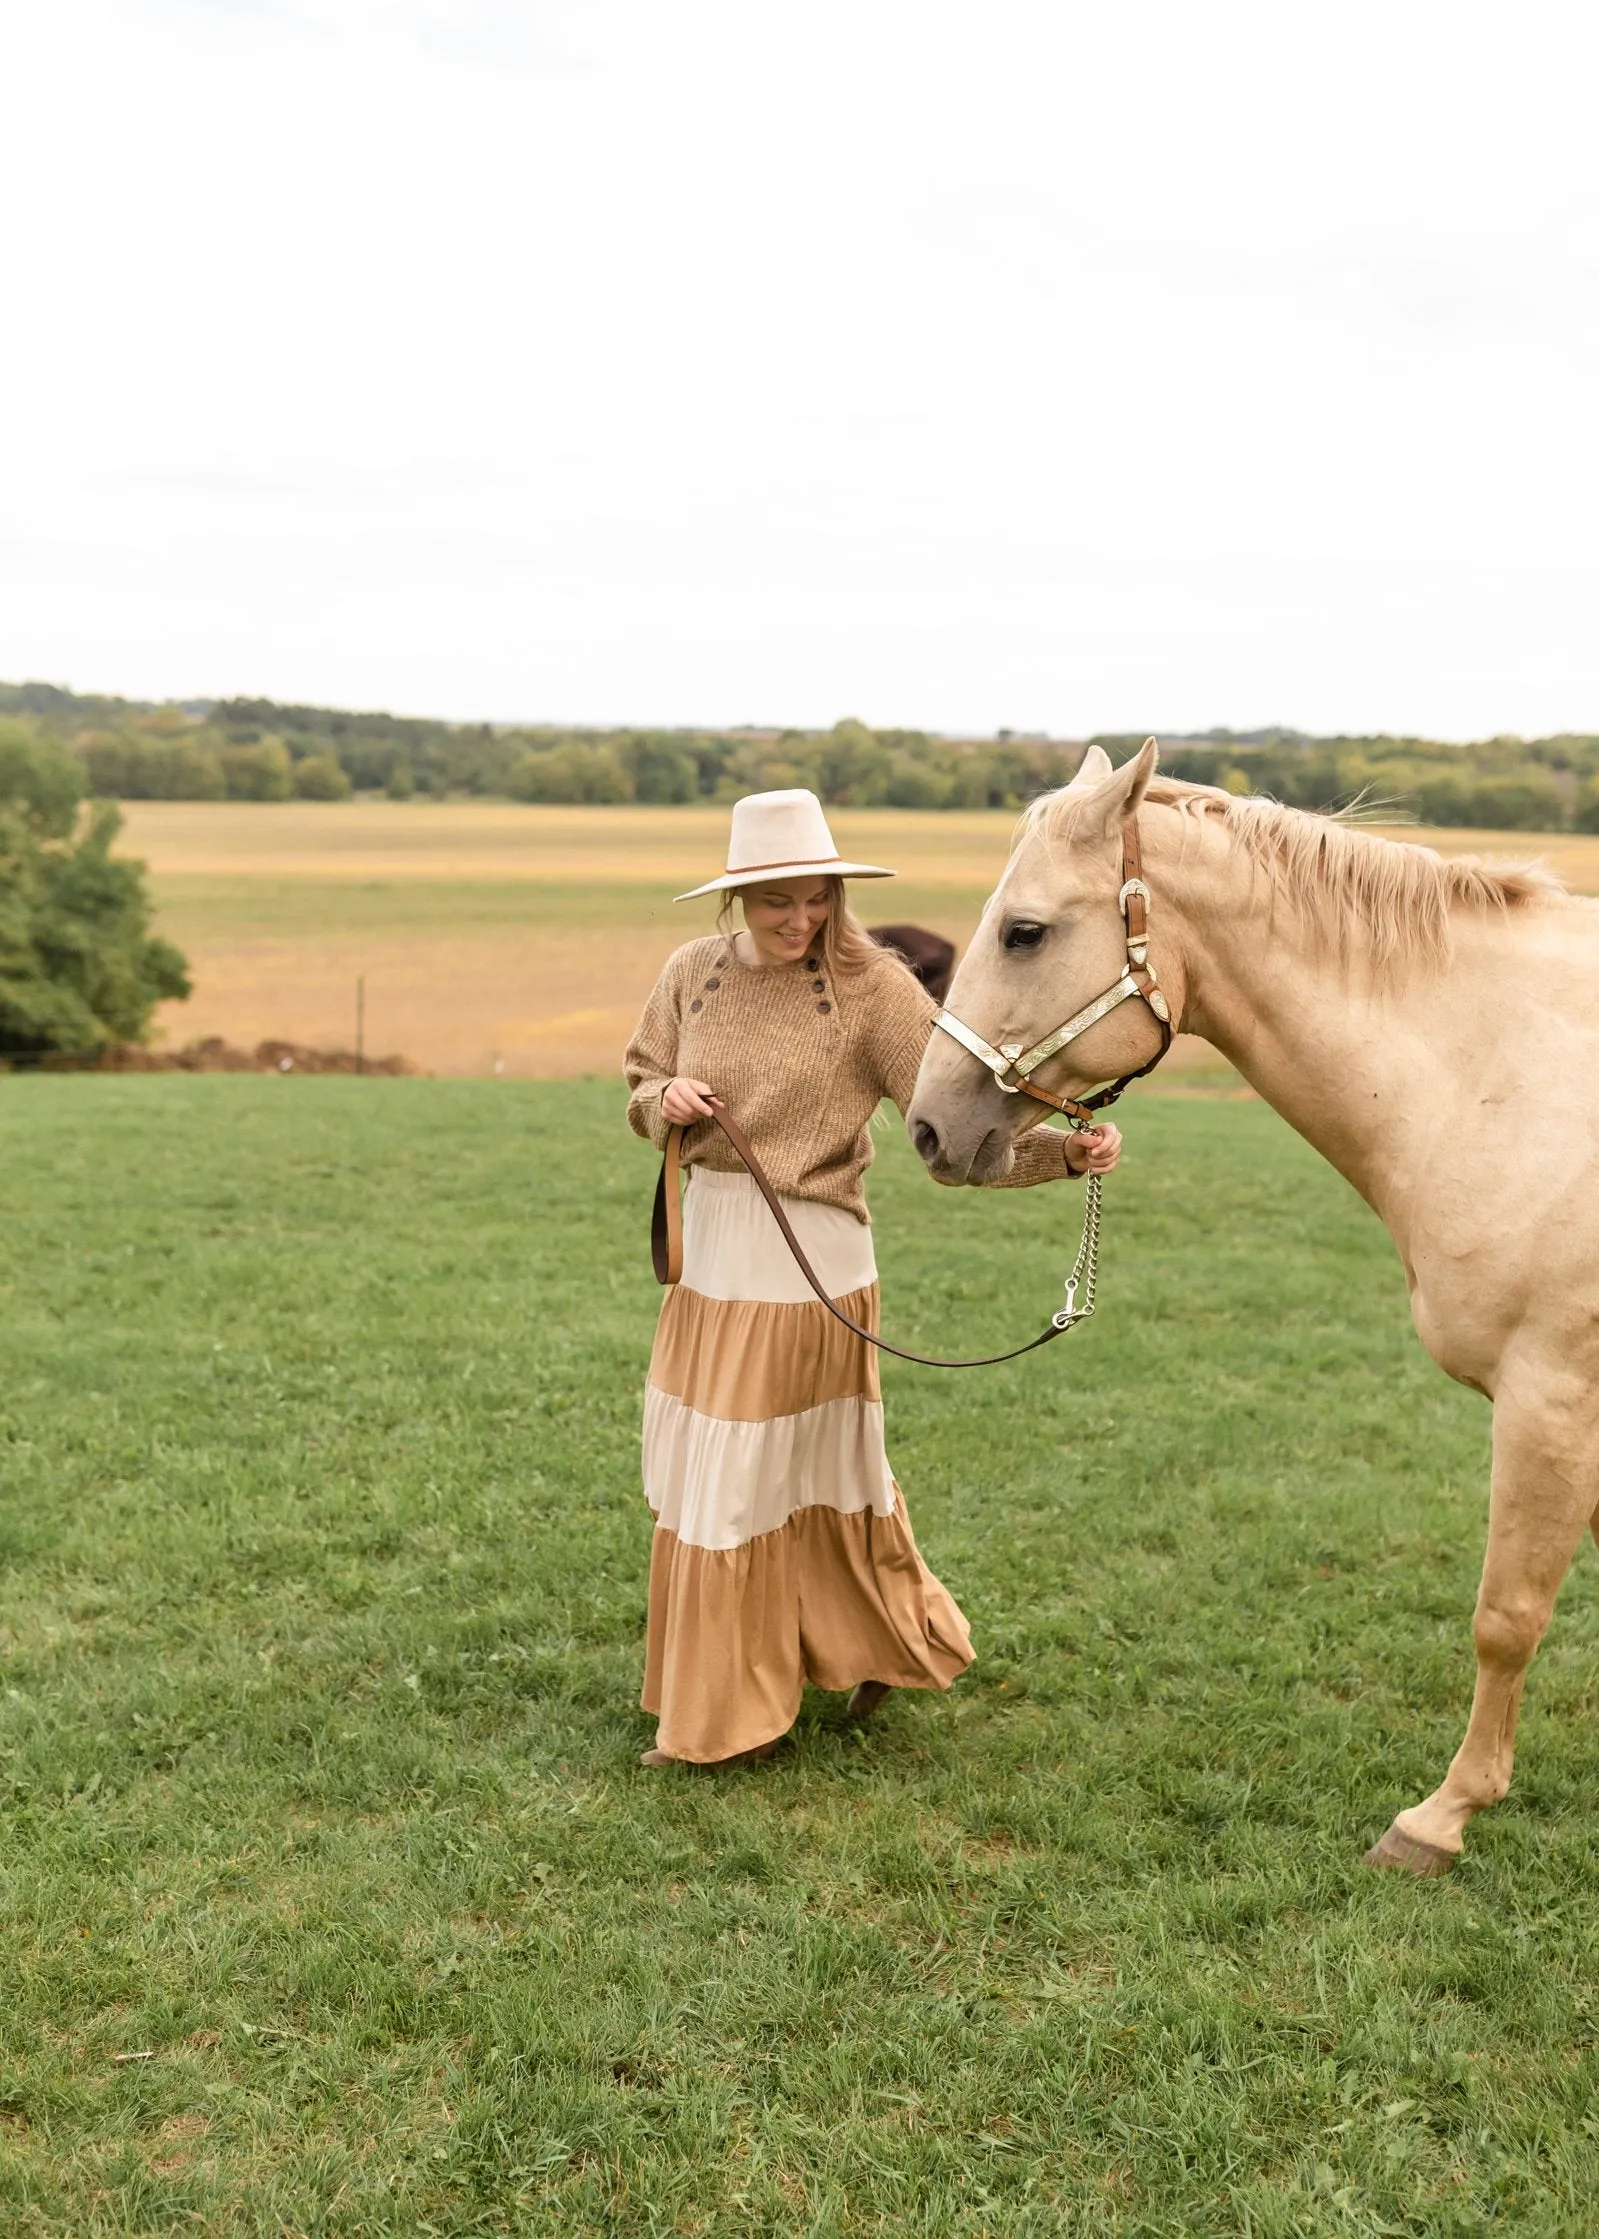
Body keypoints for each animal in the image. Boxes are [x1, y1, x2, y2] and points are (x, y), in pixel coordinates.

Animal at [909, 734, 1594, 1871]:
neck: (1502, 1076)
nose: (927, 1127)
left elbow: (1506, 1615)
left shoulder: (1552, 1400)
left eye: (1024, 931)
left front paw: (1441, 1815)